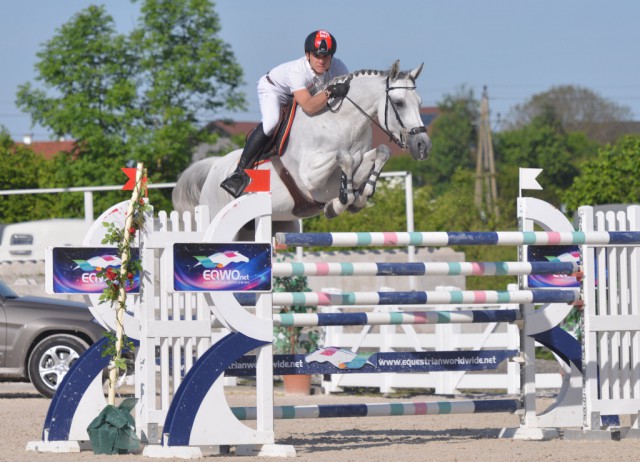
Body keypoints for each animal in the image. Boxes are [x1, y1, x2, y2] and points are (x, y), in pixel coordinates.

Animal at [171, 61, 430, 227]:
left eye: (419, 102)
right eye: (399, 103)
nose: (423, 146)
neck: (342, 122)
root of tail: (214, 167)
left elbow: (379, 153)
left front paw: (356, 198)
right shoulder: (310, 177)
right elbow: (345, 157)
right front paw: (340, 203)